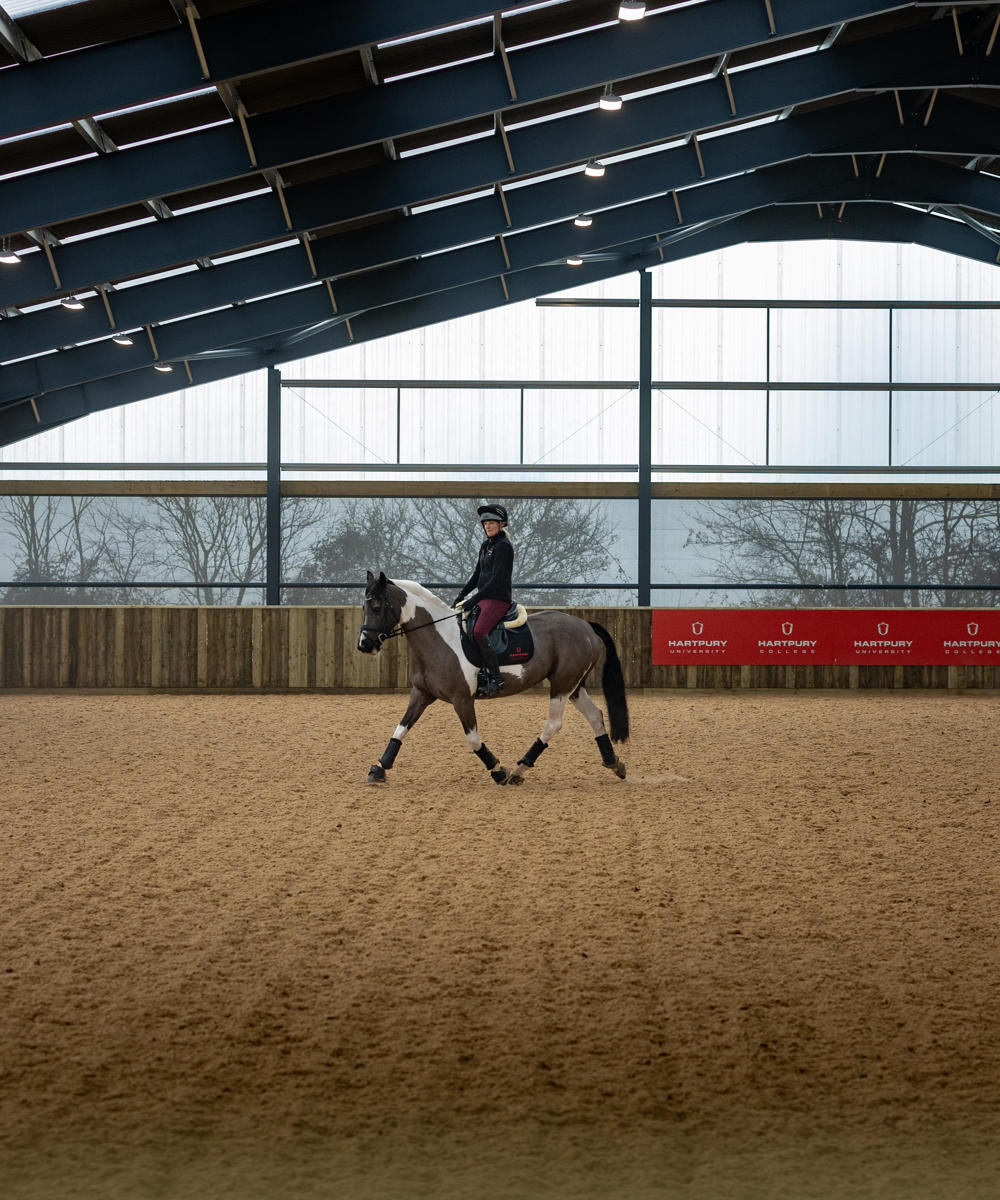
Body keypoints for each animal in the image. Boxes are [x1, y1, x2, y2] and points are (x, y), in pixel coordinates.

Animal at [357, 571, 629, 786]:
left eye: (377, 607)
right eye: (364, 607)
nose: (364, 645)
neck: (438, 637)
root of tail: (585, 625)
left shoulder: (462, 699)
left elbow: (473, 739)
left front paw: (498, 770)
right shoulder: (422, 694)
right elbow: (400, 729)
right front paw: (378, 769)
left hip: (562, 684)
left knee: (553, 724)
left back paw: (519, 770)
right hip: (574, 686)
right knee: (595, 716)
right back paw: (613, 763)